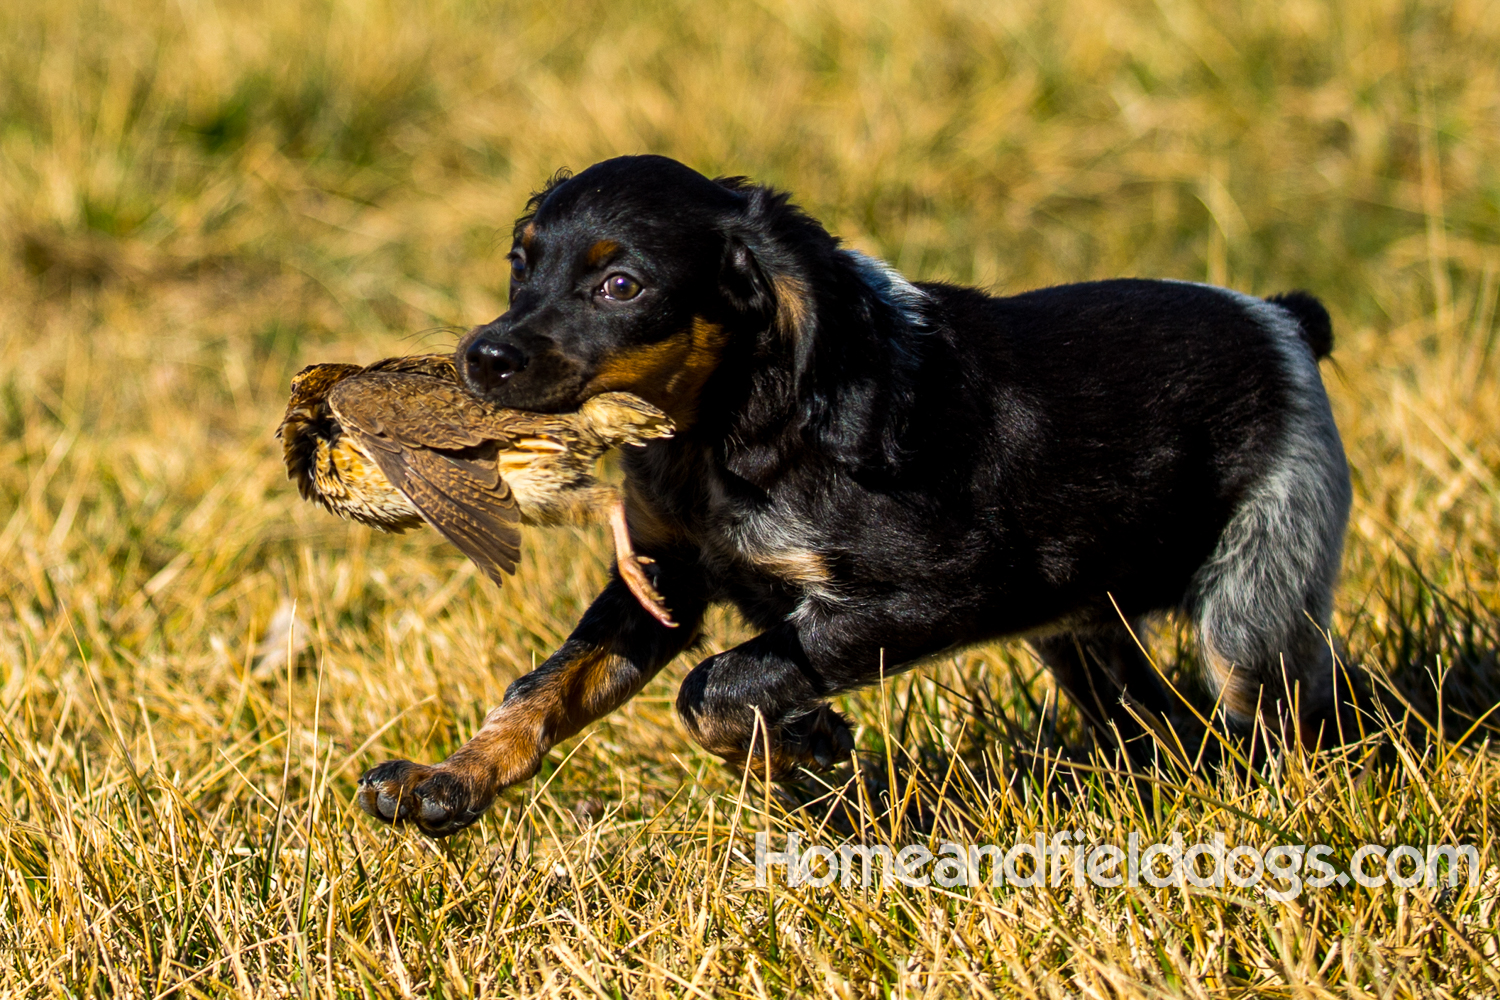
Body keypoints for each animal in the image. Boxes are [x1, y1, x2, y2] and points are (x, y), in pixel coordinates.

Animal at [357, 150, 1356, 839]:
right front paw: (448, 779)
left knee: (1283, 719)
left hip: (1254, 605)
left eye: (620, 285)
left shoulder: (947, 586)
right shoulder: (661, 578)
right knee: (1158, 723)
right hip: (1085, 627)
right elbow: (547, 684)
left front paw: (804, 752)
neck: (731, 429)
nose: (481, 356)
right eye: (520, 263)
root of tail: (1282, 318)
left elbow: (720, 684)